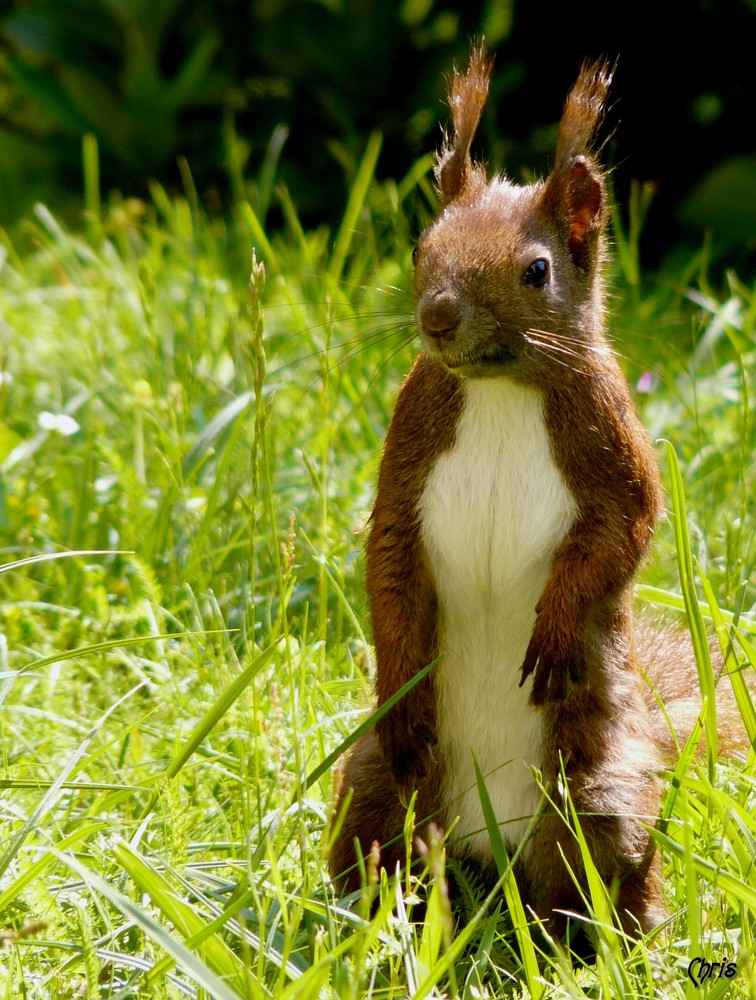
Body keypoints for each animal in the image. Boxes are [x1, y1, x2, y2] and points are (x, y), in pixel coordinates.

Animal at [330, 47, 744, 936]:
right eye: (421, 247)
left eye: (538, 270)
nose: (438, 317)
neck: (500, 389)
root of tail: (489, 844)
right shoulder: (407, 451)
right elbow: (388, 555)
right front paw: (397, 668)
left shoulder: (614, 443)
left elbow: (622, 534)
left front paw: (555, 624)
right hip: (380, 781)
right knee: (382, 850)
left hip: (599, 798)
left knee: (599, 885)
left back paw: (610, 942)